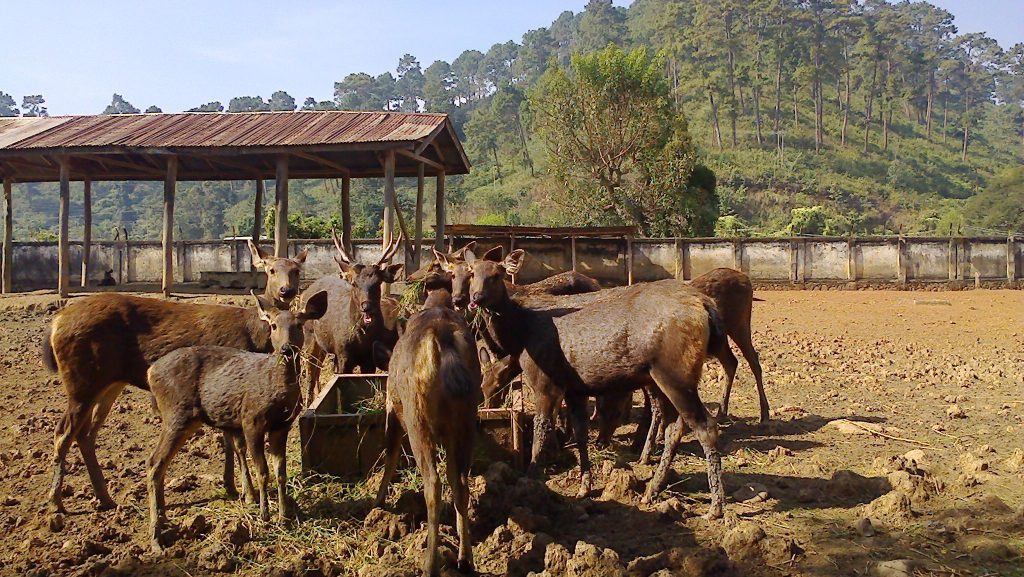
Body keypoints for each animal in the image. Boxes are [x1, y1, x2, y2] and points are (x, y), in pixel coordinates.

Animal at [43, 245, 307, 516]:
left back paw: (104, 498)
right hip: (81, 381)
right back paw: (56, 502)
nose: (287, 290)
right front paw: (249, 494)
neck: (254, 335)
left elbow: (228, 441)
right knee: (63, 433)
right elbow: (238, 443)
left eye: (296, 270)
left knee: (86, 434)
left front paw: (232, 487)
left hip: (109, 383)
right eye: (271, 269)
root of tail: (56, 324)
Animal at [144, 291, 325, 553]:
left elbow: (280, 472)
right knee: (153, 462)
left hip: (186, 418)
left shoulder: (282, 426)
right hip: (177, 413)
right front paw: (264, 517)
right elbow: (263, 472)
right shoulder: (251, 420)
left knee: (159, 464)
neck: (277, 390)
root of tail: (150, 373)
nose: (286, 349)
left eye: (299, 325)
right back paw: (155, 538)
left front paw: (285, 517)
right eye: (273, 325)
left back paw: (164, 523)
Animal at [299, 230, 403, 401]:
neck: (361, 340)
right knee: (310, 372)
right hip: (309, 335)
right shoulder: (343, 355)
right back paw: (309, 401)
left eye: (378, 283)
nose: (366, 307)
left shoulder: (369, 360)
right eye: (354, 283)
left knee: (318, 369)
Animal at [372, 284, 479, 577]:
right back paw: (465, 558)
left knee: (433, 482)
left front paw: (378, 502)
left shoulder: (392, 409)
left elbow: (390, 454)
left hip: (416, 419)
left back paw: (430, 563)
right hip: (466, 419)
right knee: (460, 481)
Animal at [464, 245, 729, 516]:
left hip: (675, 374)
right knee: (675, 427)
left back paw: (715, 506)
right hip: (663, 379)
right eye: (471, 272)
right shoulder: (574, 389)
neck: (520, 336)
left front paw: (531, 479)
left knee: (705, 426)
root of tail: (705, 305)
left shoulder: (547, 383)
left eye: (497, 274)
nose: (476, 297)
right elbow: (580, 434)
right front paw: (584, 487)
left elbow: (541, 432)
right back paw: (652, 489)